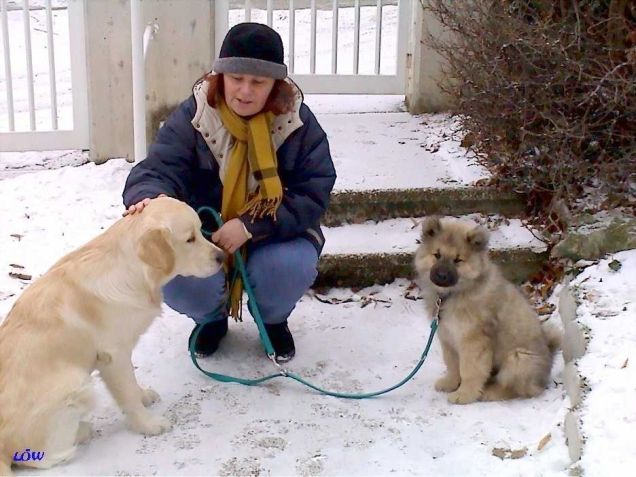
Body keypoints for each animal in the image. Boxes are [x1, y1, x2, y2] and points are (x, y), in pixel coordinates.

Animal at [0, 196, 224, 472]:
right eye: (190, 239)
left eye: (200, 231)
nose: (222, 256)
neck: (132, 271)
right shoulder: (113, 355)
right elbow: (127, 395)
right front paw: (148, 424)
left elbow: (132, 385)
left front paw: (143, 395)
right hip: (77, 382)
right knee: (41, 456)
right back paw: (82, 431)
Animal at [412, 218, 556, 404]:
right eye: (437, 255)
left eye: (458, 260)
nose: (442, 276)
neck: (452, 294)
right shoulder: (447, 338)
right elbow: (452, 365)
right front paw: (450, 383)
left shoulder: (473, 341)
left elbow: (469, 370)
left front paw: (464, 394)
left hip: (519, 358)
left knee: (519, 389)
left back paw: (492, 392)